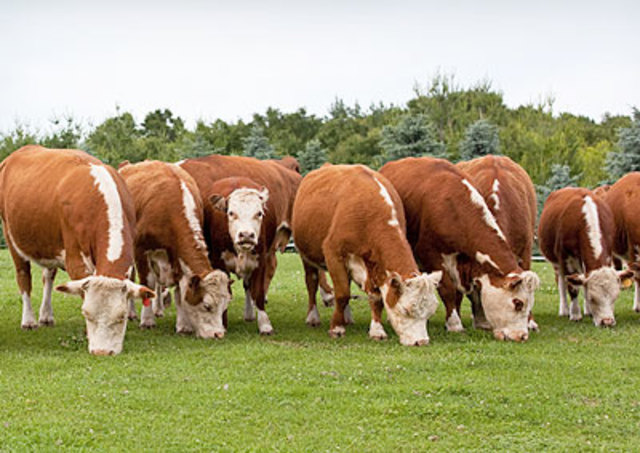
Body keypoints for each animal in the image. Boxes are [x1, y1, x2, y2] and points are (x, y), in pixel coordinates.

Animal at [0, 145, 154, 355]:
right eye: (86, 314)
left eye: (121, 317)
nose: (102, 352)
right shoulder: (75, 260)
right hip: (11, 237)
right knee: (24, 277)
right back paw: (29, 320)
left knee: (48, 277)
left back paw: (46, 315)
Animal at [119, 160, 231, 338]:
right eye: (207, 306)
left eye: (224, 306)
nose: (218, 334)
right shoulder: (141, 250)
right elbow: (147, 284)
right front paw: (147, 321)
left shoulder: (177, 256)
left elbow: (179, 294)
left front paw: (183, 325)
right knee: (130, 277)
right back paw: (132, 313)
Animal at [178, 155, 301, 334]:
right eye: (231, 213)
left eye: (259, 213)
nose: (247, 235)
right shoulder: (217, 260)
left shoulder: (259, 260)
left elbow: (257, 291)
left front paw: (265, 324)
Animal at [292, 164, 443, 346]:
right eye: (406, 310)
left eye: (430, 312)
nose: (421, 341)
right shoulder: (334, 254)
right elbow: (342, 294)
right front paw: (336, 328)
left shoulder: (376, 267)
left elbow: (376, 299)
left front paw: (377, 330)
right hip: (306, 256)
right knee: (312, 283)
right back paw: (313, 317)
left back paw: (347, 317)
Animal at [538, 187, 632, 326]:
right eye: (593, 298)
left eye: (615, 297)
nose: (607, 321)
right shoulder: (567, 259)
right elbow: (573, 288)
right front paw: (575, 314)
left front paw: (589, 311)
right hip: (556, 263)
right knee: (561, 283)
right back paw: (564, 309)